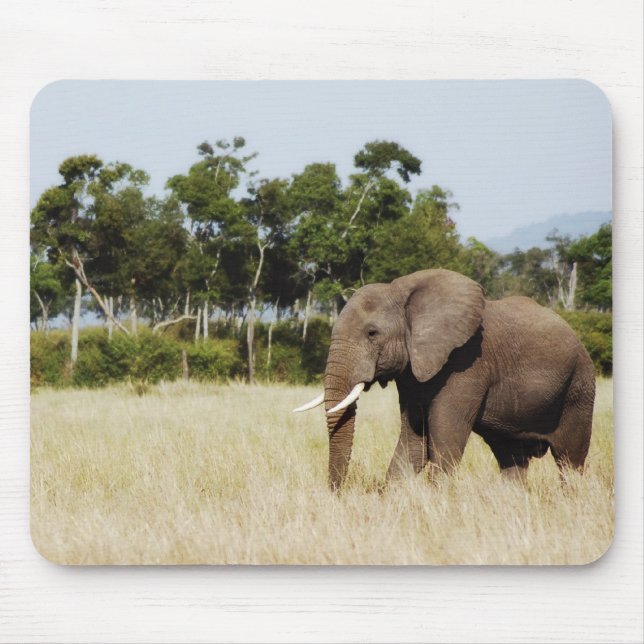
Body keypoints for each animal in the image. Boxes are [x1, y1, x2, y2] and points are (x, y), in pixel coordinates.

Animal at [294, 269, 595, 490]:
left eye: (372, 333)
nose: (337, 494)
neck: (403, 294)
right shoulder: (413, 373)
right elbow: (413, 442)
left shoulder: (466, 364)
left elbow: (445, 442)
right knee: (512, 459)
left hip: (579, 387)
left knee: (570, 460)